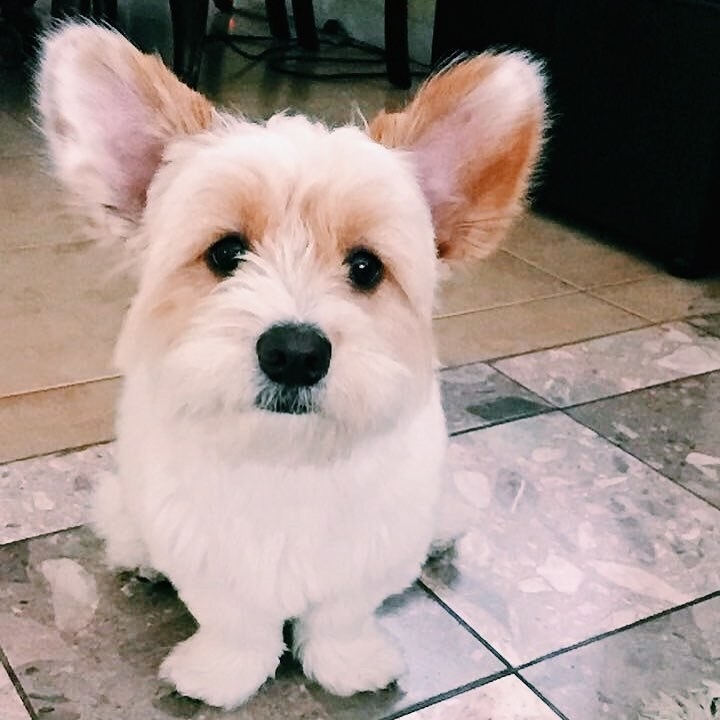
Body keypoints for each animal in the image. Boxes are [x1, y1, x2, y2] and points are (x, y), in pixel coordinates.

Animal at [38, 25, 544, 712]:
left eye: (365, 267)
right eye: (226, 253)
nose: (295, 352)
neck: (288, 457)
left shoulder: (366, 555)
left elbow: (341, 616)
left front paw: (347, 662)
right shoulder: (206, 554)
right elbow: (235, 621)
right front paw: (223, 671)